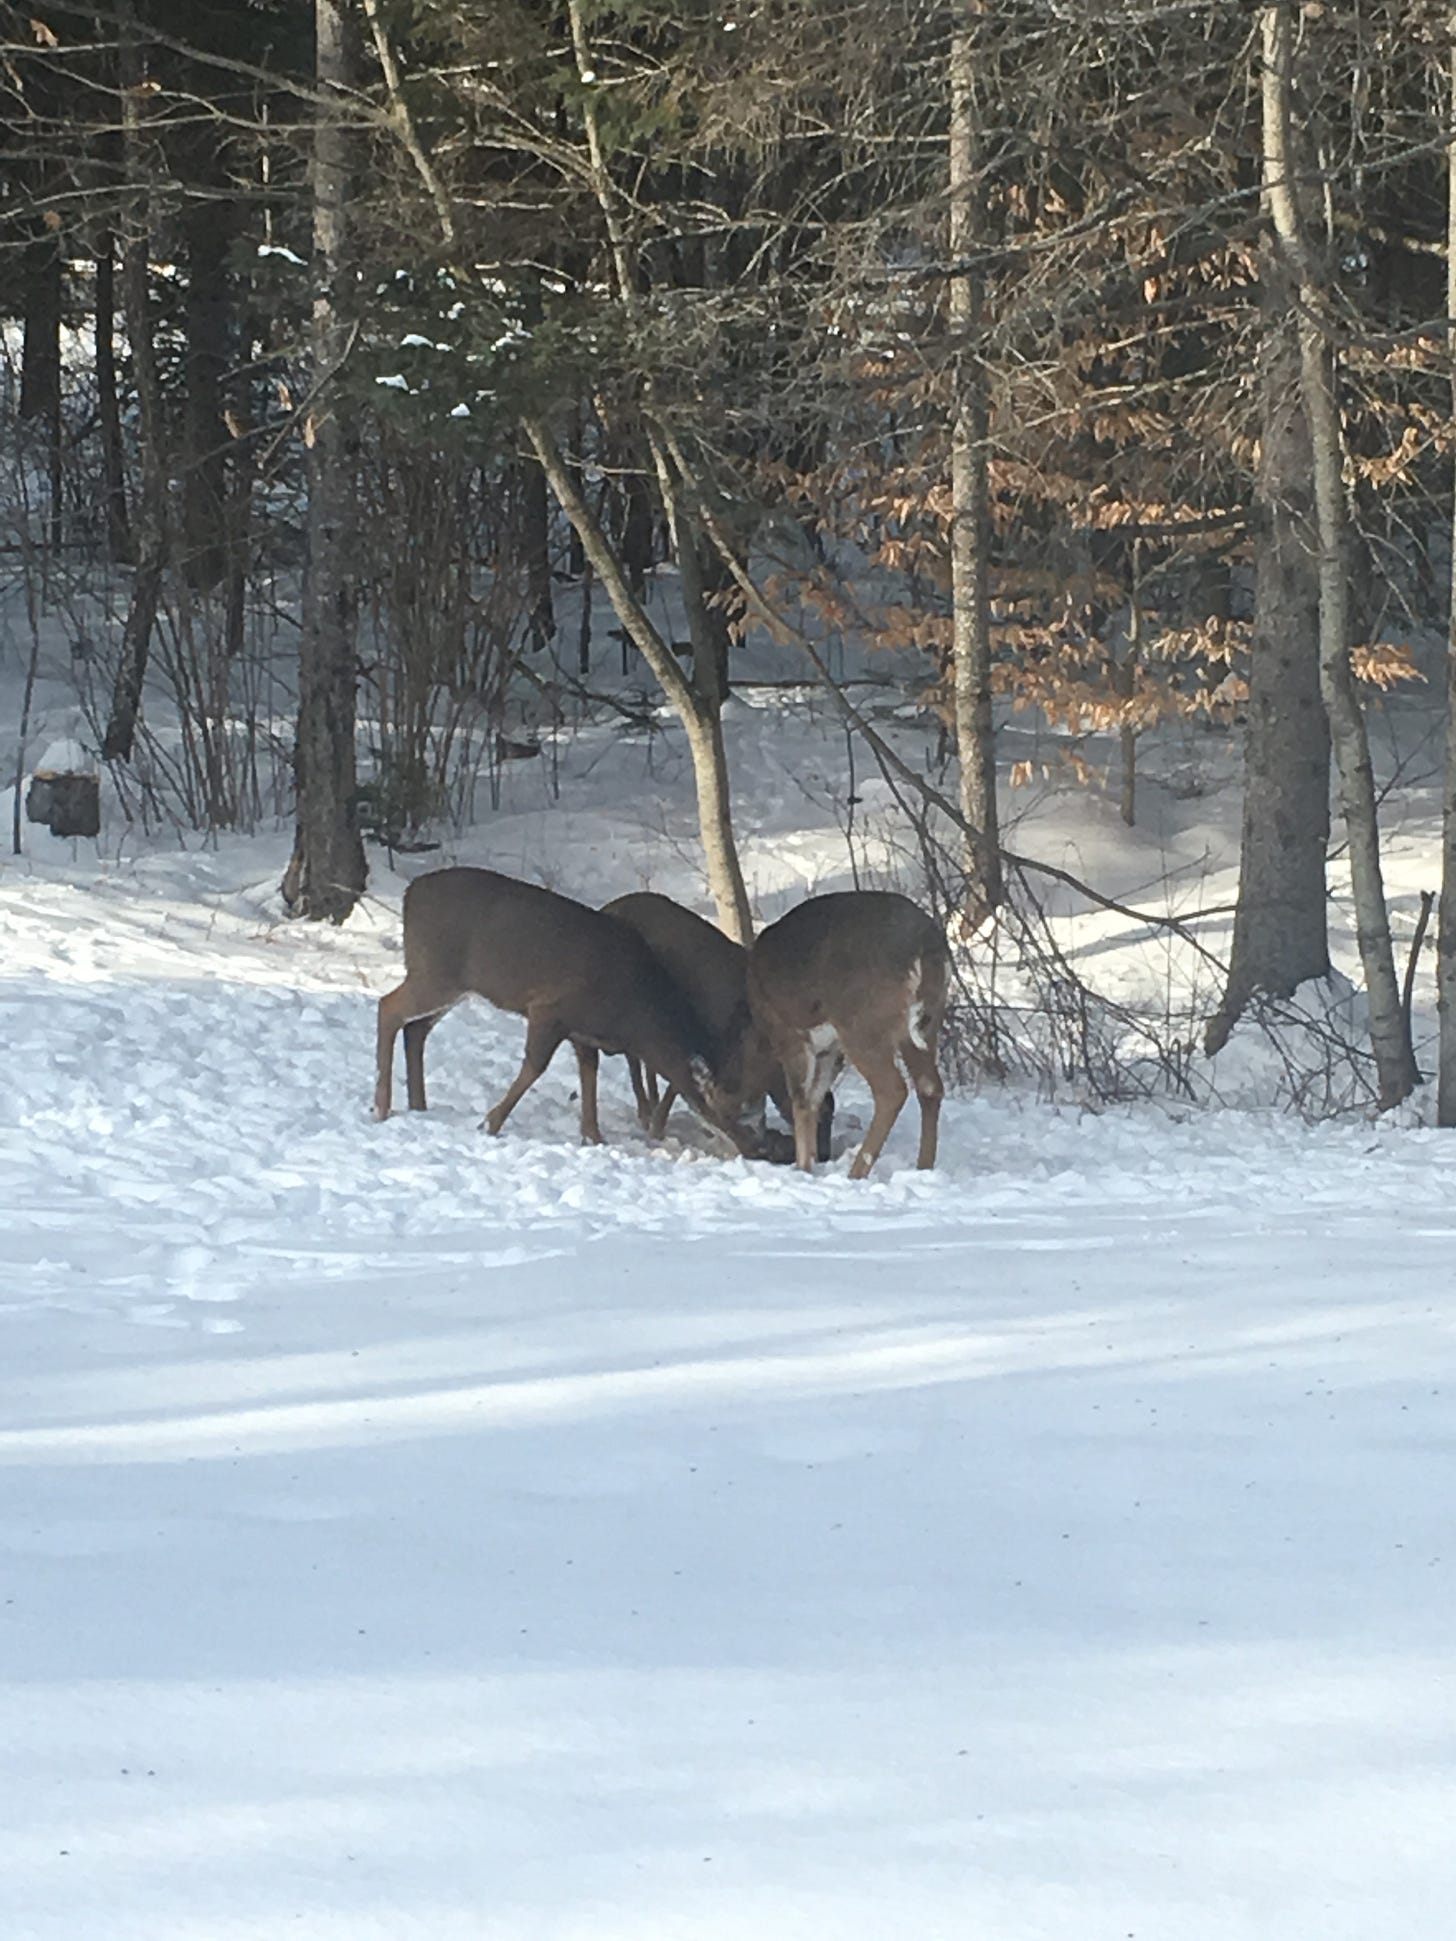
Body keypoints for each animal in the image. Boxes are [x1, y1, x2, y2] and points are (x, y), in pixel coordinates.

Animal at [374, 867, 765, 1155]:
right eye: (736, 1110)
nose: (758, 1149)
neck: (634, 1014)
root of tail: (409, 893)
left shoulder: (582, 1031)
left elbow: (589, 1075)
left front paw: (593, 1136)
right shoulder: (549, 1008)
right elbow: (536, 1067)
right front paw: (490, 1123)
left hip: (451, 984)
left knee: (416, 1028)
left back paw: (418, 1105)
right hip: (435, 971)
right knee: (388, 1008)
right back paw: (381, 1107)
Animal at [603, 891, 834, 1162]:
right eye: (821, 1119)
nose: (825, 1154)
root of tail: (607, 907)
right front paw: (658, 1127)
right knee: (635, 1058)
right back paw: (647, 1111)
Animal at [743, 890, 949, 1179]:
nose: (746, 1113)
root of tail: (926, 945)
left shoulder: (790, 1033)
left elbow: (801, 1099)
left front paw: (803, 1167)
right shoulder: (829, 1048)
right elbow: (815, 1098)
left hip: (861, 1024)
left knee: (893, 1089)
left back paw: (857, 1172)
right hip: (926, 1025)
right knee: (930, 1087)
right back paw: (924, 1168)